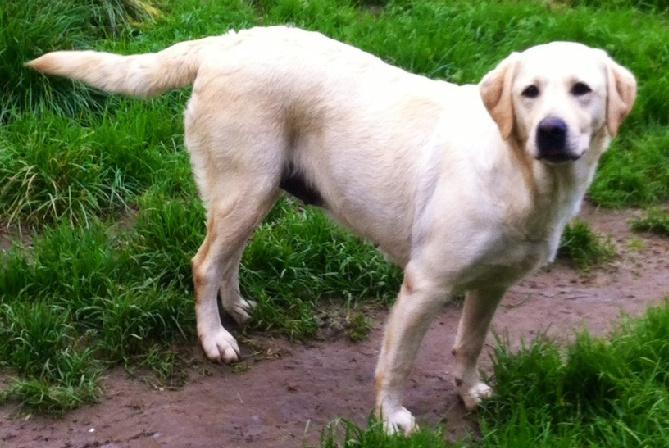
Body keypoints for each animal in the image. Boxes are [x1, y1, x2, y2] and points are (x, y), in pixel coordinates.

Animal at [30, 25, 632, 434]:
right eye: (530, 92)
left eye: (582, 90)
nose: (551, 132)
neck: (523, 176)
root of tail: (226, 42)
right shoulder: (424, 285)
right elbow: (397, 364)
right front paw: (391, 419)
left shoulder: (491, 286)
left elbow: (468, 344)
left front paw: (470, 392)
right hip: (246, 188)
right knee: (203, 264)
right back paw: (214, 337)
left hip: (259, 190)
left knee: (226, 257)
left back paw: (236, 307)